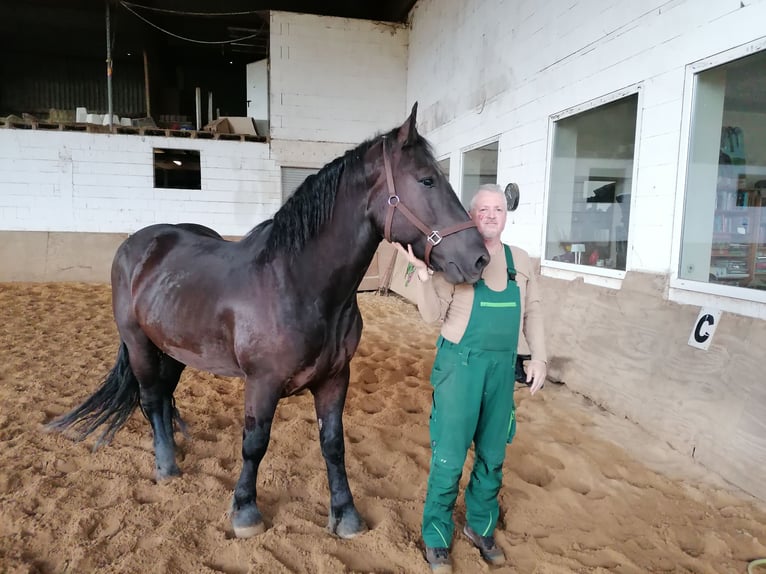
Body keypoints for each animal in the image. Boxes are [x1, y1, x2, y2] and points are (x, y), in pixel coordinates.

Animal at [47, 103, 490, 540]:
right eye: (427, 180)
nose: (480, 258)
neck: (297, 281)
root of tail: (136, 244)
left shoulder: (335, 378)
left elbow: (334, 444)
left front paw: (346, 515)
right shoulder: (262, 382)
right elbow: (255, 442)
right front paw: (245, 512)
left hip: (173, 349)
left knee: (164, 396)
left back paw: (170, 450)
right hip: (139, 343)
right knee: (152, 397)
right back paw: (166, 467)